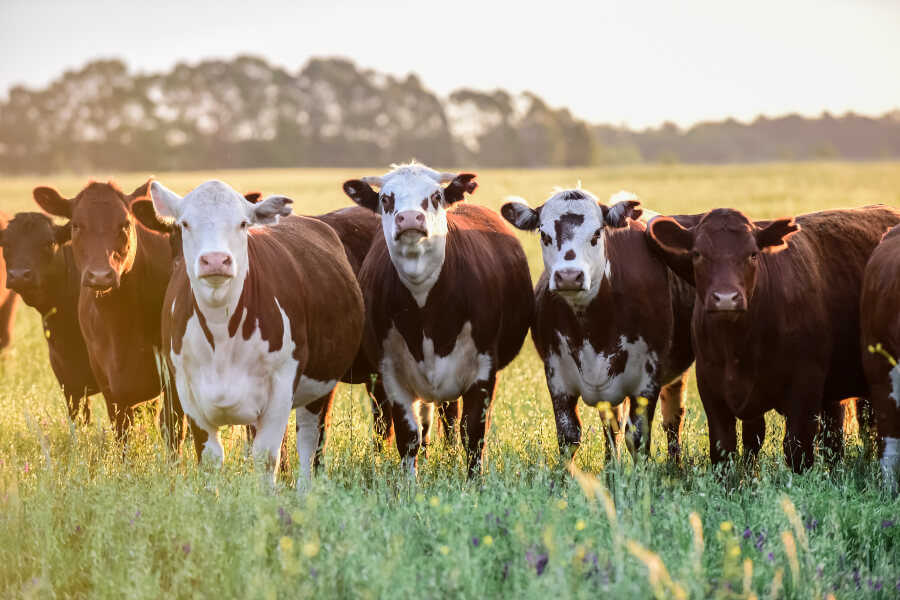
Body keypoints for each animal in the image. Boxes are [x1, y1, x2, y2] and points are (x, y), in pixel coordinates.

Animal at [33, 180, 181, 448]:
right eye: (76, 225)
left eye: (125, 224)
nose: (100, 275)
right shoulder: (107, 380)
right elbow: (122, 434)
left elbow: (173, 430)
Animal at [145, 179, 364, 485]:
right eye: (185, 223)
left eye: (242, 224)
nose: (215, 260)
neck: (221, 333)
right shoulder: (186, 388)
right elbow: (209, 458)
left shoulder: (283, 383)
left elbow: (266, 457)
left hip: (320, 382)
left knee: (309, 441)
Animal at [342, 162, 534, 478]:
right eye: (385, 198)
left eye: (435, 196)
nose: (409, 218)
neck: (425, 310)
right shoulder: (390, 372)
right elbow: (408, 435)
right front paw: (409, 484)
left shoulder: (484, 369)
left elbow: (473, 433)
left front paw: (473, 483)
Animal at [501, 189, 695, 463]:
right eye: (544, 235)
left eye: (596, 234)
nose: (569, 277)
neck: (591, 328)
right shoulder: (556, 374)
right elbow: (569, 436)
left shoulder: (648, 377)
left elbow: (638, 438)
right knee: (612, 427)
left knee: (673, 419)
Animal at [648, 205, 900, 472]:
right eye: (697, 254)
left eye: (752, 254)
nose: (726, 298)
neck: (735, 347)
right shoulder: (712, 392)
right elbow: (726, 451)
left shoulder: (804, 390)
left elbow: (797, 451)